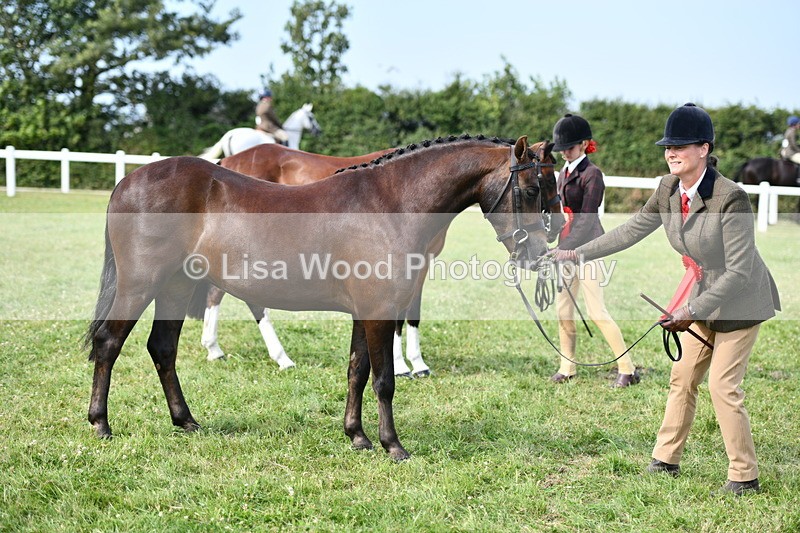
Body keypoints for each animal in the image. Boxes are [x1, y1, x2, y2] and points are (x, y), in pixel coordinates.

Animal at [85, 135, 558, 460]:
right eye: (532, 190)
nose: (537, 254)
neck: (390, 204)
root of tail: (128, 180)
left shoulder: (365, 313)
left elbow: (357, 372)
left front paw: (357, 436)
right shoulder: (379, 312)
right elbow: (384, 380)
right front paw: (393, 445)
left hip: (177, 286)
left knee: (162, 348)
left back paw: (186, 421)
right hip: (141, 283)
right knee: (109, 343)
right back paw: (101, 424)